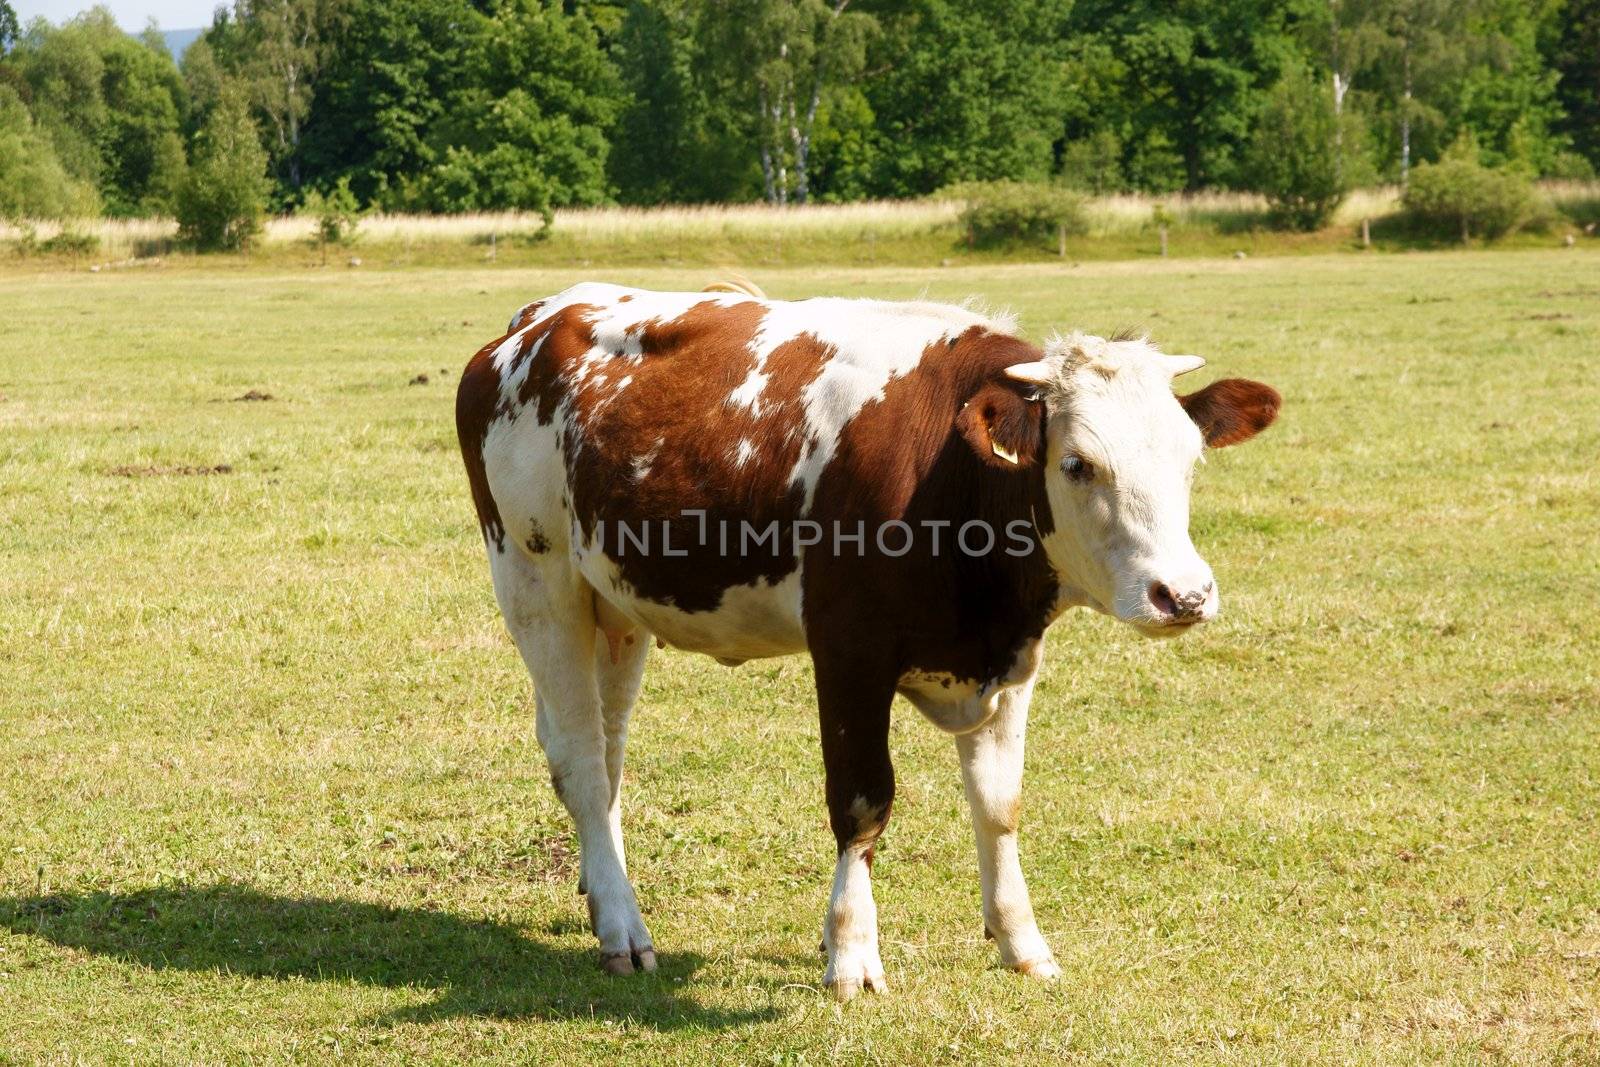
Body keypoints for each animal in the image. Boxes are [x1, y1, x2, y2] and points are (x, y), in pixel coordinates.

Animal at [457, 283, 1280, 1004]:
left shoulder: (1011, 660)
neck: (951, 480)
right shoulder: (849, 653)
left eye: (1191, 459)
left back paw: (603, 889)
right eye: (1077, 463)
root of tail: (538, 320)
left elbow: (999, 805)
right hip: (537, 581)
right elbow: (861, 802)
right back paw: (623, 929)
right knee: (582, 760)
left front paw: (1022, 943)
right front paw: (851, 953)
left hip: (618, 608)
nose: (1184, 594)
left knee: (606, 755)